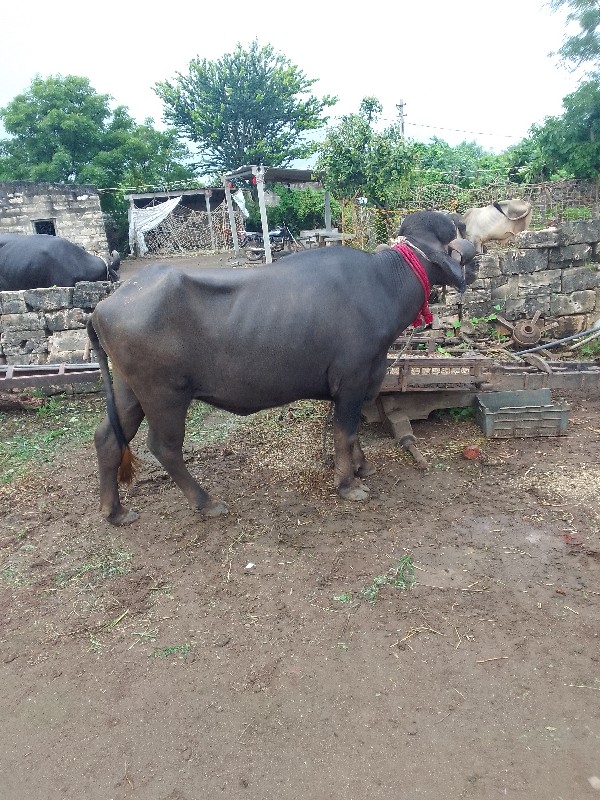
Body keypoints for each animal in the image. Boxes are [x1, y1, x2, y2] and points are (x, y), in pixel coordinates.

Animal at [86, 209, 476, 528]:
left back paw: (114, 511)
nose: (472, 265)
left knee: (107, 437)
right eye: (456, 230)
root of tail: (104, 305)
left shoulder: (367, 379)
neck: (385, 283)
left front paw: (362, 466)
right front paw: (348, 483)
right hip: (165, 394)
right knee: (164, 447)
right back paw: (206, 502)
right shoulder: (351, 381)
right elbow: (344, 432)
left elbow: (354, 431)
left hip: (129, 389)